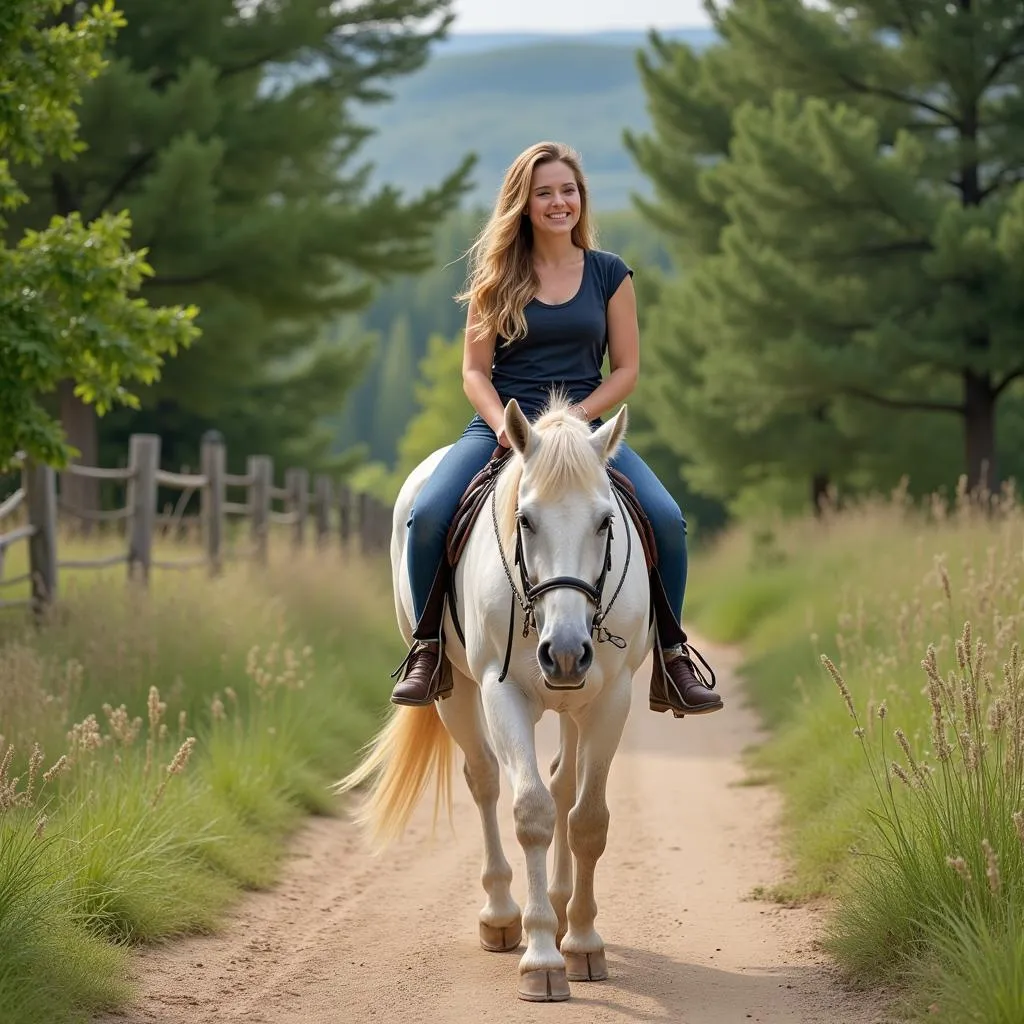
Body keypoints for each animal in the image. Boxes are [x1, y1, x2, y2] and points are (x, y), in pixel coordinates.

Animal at [339, 395, 651, 1003]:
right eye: (525, 519)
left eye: (605, 521)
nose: (566, 652)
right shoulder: (499, 691)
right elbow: (530, 810)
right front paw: (541, 957)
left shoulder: (611, 698)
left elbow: (587, 819)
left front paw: (582, 942)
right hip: (454, 692)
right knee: (483, 778)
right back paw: (503, 914)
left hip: (575, 701)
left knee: (563, 781)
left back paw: (559, 903)